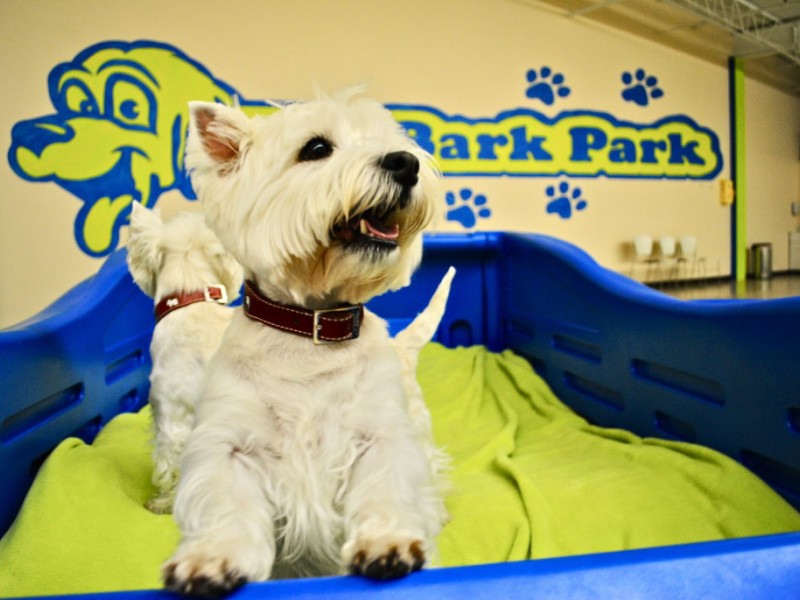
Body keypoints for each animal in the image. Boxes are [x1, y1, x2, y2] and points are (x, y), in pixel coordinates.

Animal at [165, 90, 446, 596]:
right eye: (316, 148)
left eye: (394, 140)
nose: (406, 162)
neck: (311, 333)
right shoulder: (228, 445)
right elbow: (226, 502)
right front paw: (209, 559)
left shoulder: (381, 434)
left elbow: (385, 486)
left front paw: (388, 542)